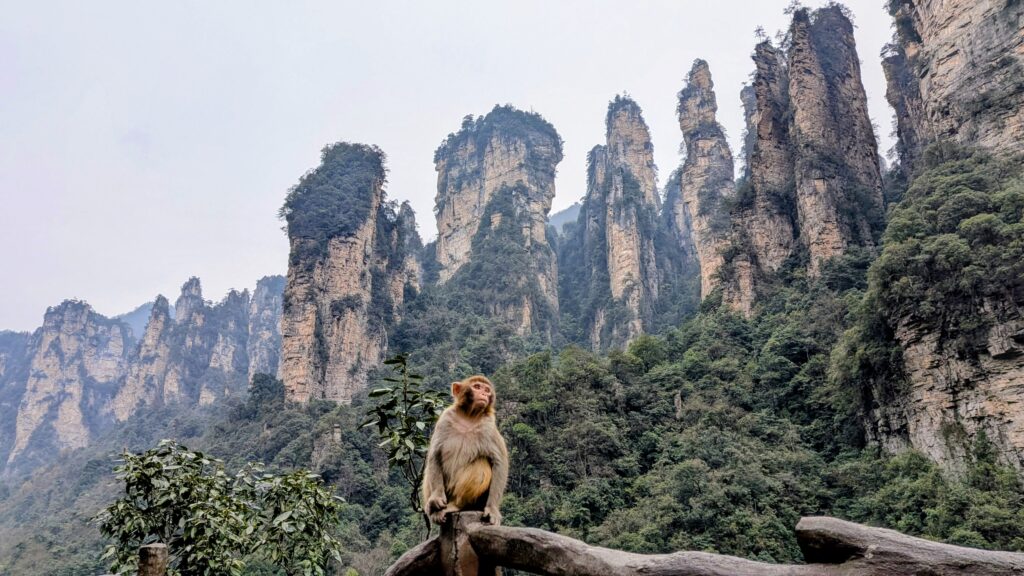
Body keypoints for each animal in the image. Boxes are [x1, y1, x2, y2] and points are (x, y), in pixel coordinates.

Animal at [422, 375, 509, 526]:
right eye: (477, 387)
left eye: (487, 390)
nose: (484, 394)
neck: (469, 416)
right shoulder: (445, 418)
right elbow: (435, 455)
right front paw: (436, 497)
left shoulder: (488, 427)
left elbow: (499, 462)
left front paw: (492, 509)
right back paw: (433, 508)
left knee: (481, 464)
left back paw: (456, 505)